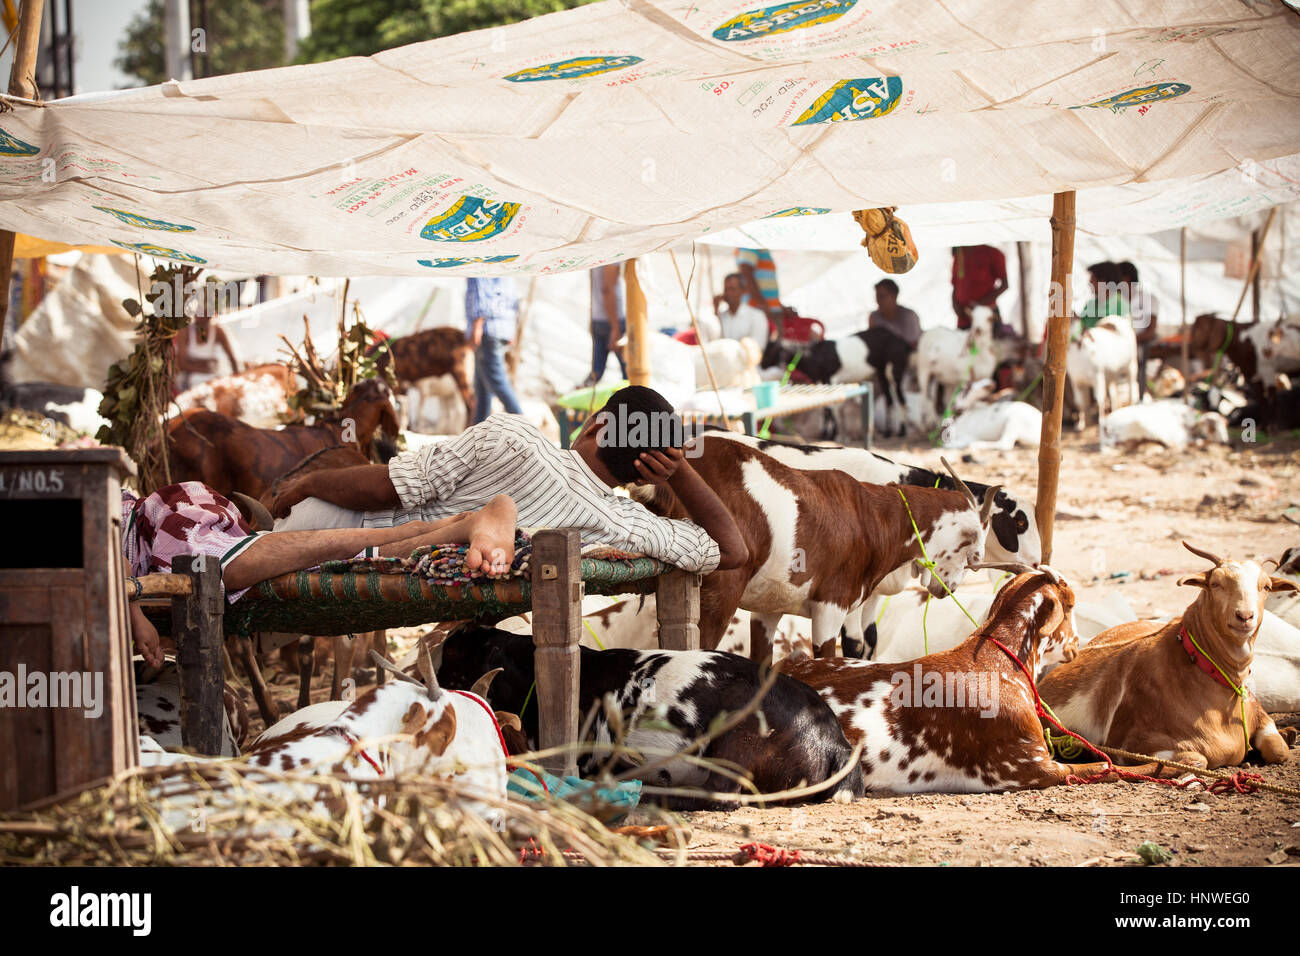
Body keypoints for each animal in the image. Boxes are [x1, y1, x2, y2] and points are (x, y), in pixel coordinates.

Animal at [637, 437, 993, 660]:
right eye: (971, 550)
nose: (950, 588)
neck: (873, 516)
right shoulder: (830, 607)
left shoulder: (769, 609)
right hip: (718, 590)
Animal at [780, 567, 1170, 790]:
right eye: (1071, 603)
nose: (1077, 644)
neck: (999, 664)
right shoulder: (1035, 768)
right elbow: (1108, 768)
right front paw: (1157, 765)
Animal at [1034, 541, 1300, 775]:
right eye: (1215, 583)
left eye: (1266, 586)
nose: (1244, 616)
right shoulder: (1132, 742)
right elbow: (1196, 759)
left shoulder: (1258, 713)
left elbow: (1278, 750)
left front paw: (1283, 738)